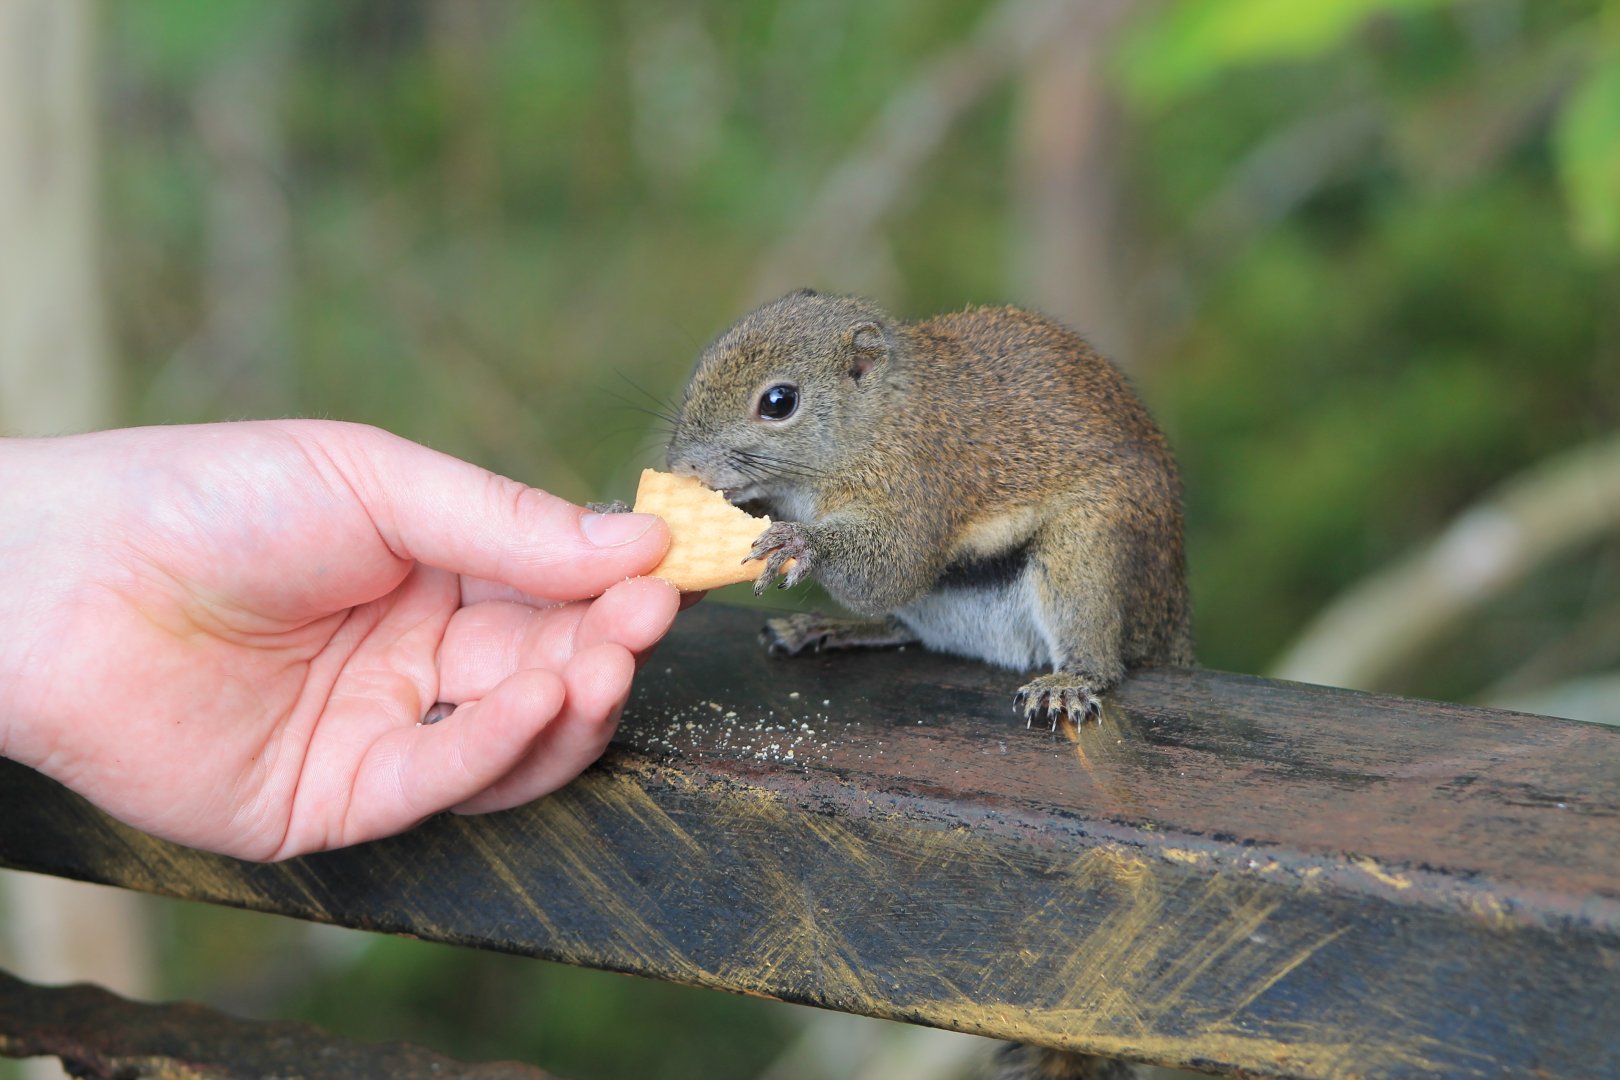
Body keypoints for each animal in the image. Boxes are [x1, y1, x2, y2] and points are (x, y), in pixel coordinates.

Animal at [664, 289, 1193, 727]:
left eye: (779, 401)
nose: (683, 466)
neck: (879, 421)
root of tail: (1169, 625)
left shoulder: (919, 484)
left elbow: (893, 568)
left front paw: (799, 540)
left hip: (1088, 548)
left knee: (1099, 648)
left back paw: (1072, 681)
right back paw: (833, 626)